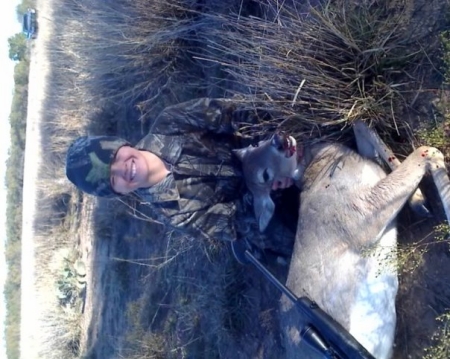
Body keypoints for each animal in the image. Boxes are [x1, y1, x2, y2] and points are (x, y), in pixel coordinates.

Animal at [234, 121, 450, 359]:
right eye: (265, 175)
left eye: (256, 143)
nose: (279, 139)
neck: (319, 165)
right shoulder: (362, 212)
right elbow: (422, 151)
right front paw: (431, 179)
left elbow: (362, 127)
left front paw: (419, 200)